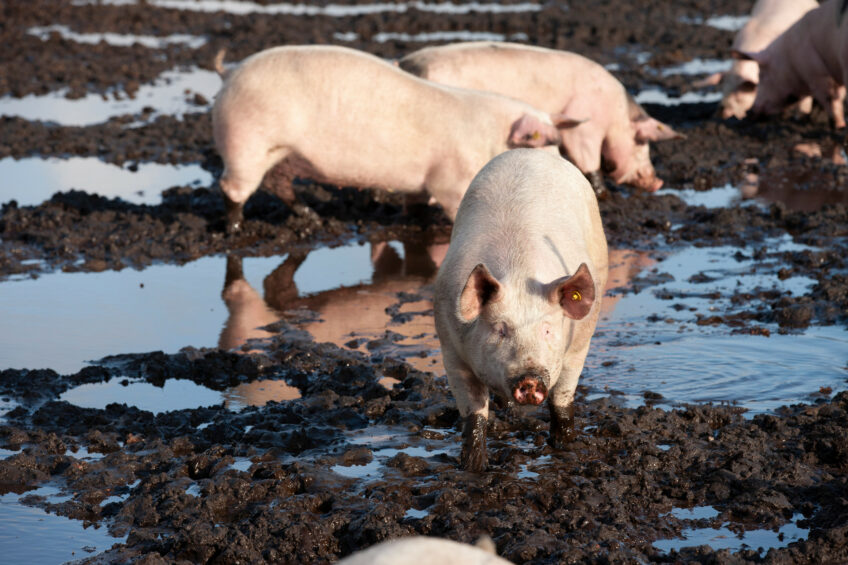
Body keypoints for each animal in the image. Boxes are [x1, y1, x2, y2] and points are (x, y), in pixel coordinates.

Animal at [212, 45, 563, 232]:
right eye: (544, 143)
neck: (490, 138)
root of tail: (229, 74)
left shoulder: (424, 183)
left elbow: (416, 203)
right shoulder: (450, 180)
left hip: (281, 154)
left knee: (278, 185)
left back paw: (313, 218)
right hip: (245, 142)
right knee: (232, 188)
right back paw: (233, 229)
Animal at [399, 41, 683, 196]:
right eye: (641, 142)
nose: (657, 182)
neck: (616, 114)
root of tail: (407, 65)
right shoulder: (584, 130)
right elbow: (589, 163)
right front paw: (602, 193)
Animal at [434, 149, 608, 472]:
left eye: (548, 330)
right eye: (500, 329)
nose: (529, 378)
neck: (518, 274)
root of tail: (534, 152)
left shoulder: (579, 345)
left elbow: (561, 400)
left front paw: (565, 447)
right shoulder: (451, 350)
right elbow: (474, 415)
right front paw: (474, 468)